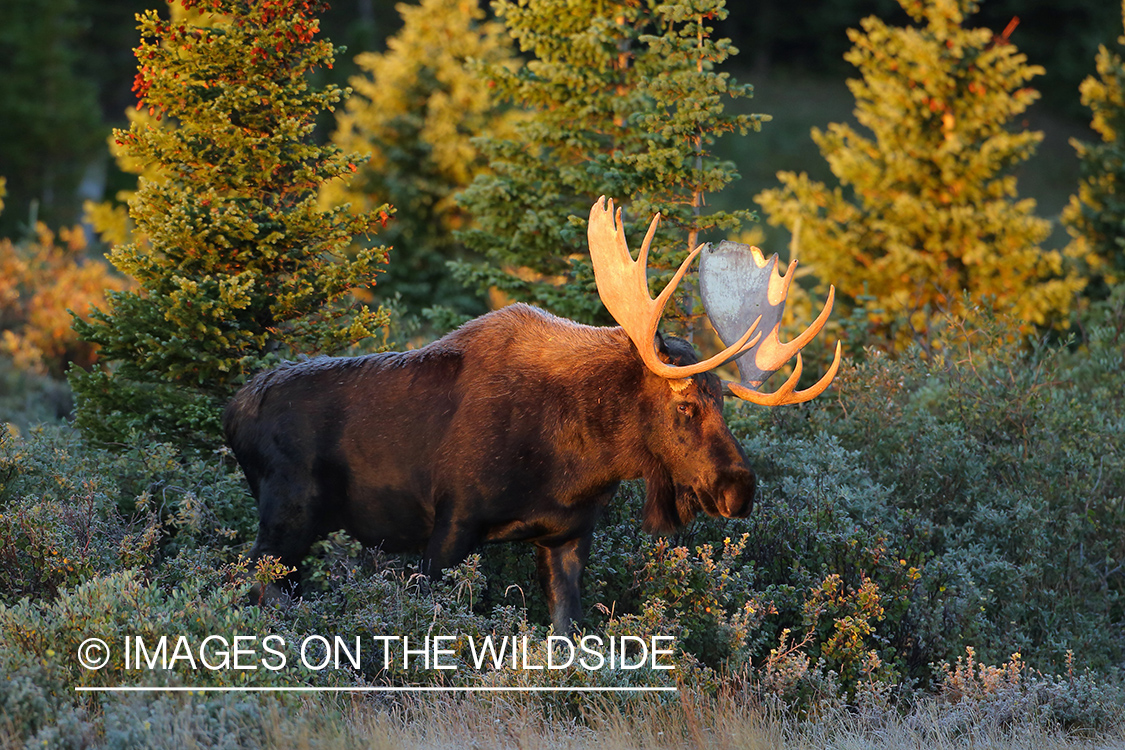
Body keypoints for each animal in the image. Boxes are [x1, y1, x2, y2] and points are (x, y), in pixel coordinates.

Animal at [223, 196, 841, 629]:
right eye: (685, 403)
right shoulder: (450, 525)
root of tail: (232, 411)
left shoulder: (568, 536)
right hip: (285, 519)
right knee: (248, 588)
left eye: (724, 403)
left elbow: (568, 631)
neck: (576, 461)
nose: (739, 488)